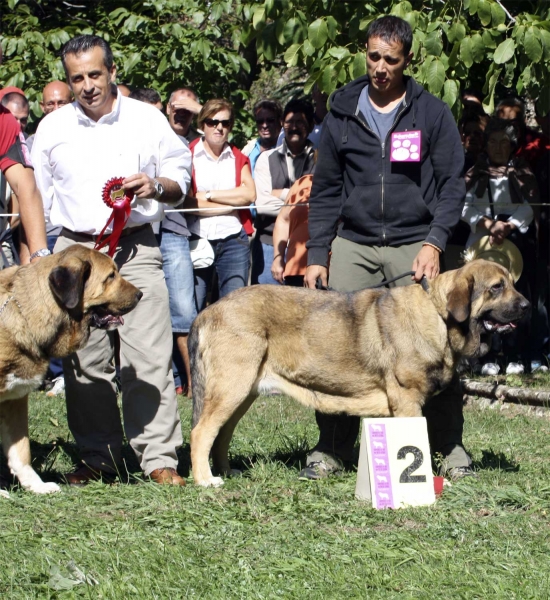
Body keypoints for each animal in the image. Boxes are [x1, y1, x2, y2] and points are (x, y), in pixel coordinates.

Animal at [190, 258, 532, 488]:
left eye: (512, 283)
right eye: (497, 287)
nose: (528, 306)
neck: (439, 314)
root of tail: (209, 310)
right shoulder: (408, 401)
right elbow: (416, 445)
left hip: (242, 393)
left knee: (222, 433)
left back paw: (226, 471)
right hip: (232, 387)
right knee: (202, 431)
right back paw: (205, 480)